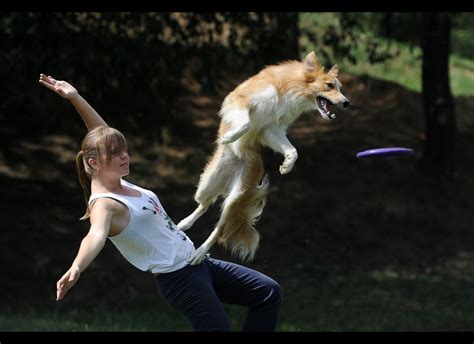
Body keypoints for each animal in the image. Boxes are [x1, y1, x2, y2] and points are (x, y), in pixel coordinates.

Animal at [178, 51, 348, 264]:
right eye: (329, 85)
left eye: (339, 87)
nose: (347, 103)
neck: (294, 90)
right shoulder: (241, 99)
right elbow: (246, 123)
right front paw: (230, 137)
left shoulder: (271, 129)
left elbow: (292, 150)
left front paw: (287, 166)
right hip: (206, 184)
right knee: (204, 204)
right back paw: (184, 223)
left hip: (235, 196)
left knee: (218, 227)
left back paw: (199, 252)